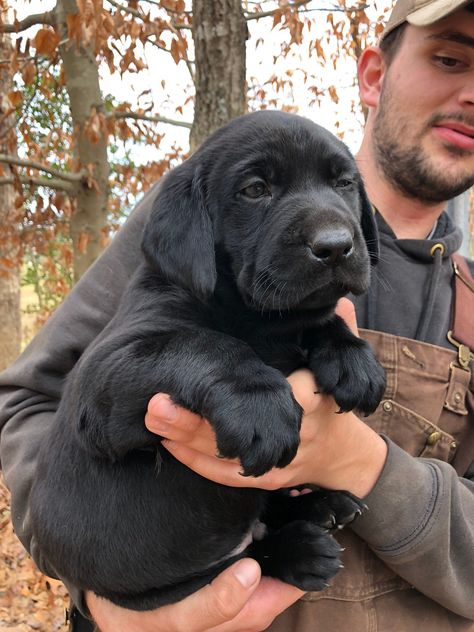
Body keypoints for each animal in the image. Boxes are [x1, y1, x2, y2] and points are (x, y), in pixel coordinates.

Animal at [29, 111, 386, 608]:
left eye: (344, 183)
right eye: (255, 189)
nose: (334, 245)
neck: (259, 321)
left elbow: (322, 318)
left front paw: (354, 361)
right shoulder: (106, 370)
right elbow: (202, 343)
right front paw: (260, 405)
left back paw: (324, 504)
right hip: (162, 587)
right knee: (243, 560)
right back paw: (300, 548)